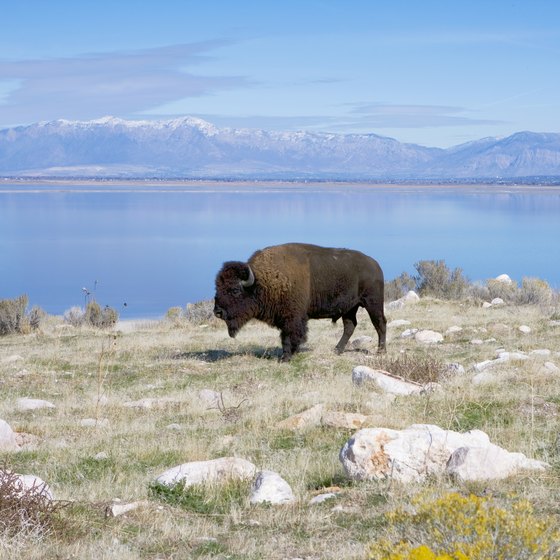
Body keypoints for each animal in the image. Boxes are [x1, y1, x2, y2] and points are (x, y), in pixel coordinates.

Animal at [212, 243, 388, 360]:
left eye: (235, 290)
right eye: (217, 287)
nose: (217, 311)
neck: (261, 281)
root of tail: (375, 265)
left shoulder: (292, 318)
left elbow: (289, 336)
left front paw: (286, 358)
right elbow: (286, 336)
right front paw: (290, 354)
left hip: (372, 303)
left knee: (380, 323)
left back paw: (381, 351)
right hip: (349, 308)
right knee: (350, 326)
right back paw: (337, 350)